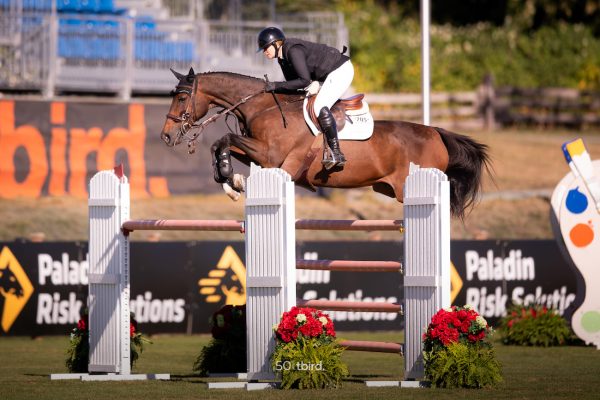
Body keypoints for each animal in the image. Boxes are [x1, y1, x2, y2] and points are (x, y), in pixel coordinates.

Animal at [161, 69, 492, 219]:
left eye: (182, 97)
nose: (166, 135)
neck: (263, 107)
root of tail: (436, 132)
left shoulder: (272, 157)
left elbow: (225, 139)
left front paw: (232, 180)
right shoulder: (260, 154)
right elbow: (222, 144)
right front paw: (231, 181)